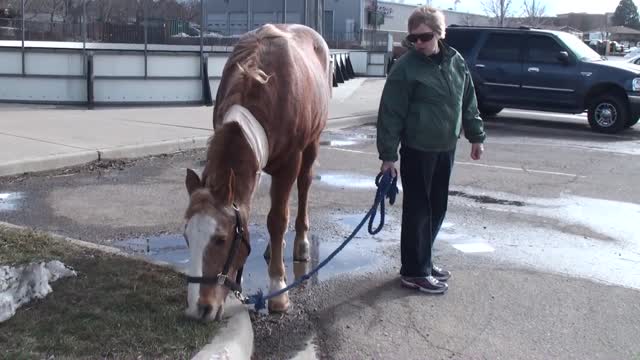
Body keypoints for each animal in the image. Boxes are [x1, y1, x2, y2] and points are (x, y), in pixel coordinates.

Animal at [180, 23, 330, 320]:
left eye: (221, 239)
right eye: (187, 236)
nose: (199, 309)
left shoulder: (290, 161)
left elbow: (277, 219)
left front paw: (278, 291)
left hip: (312, 145)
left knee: (303, 186)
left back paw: (300, 243)